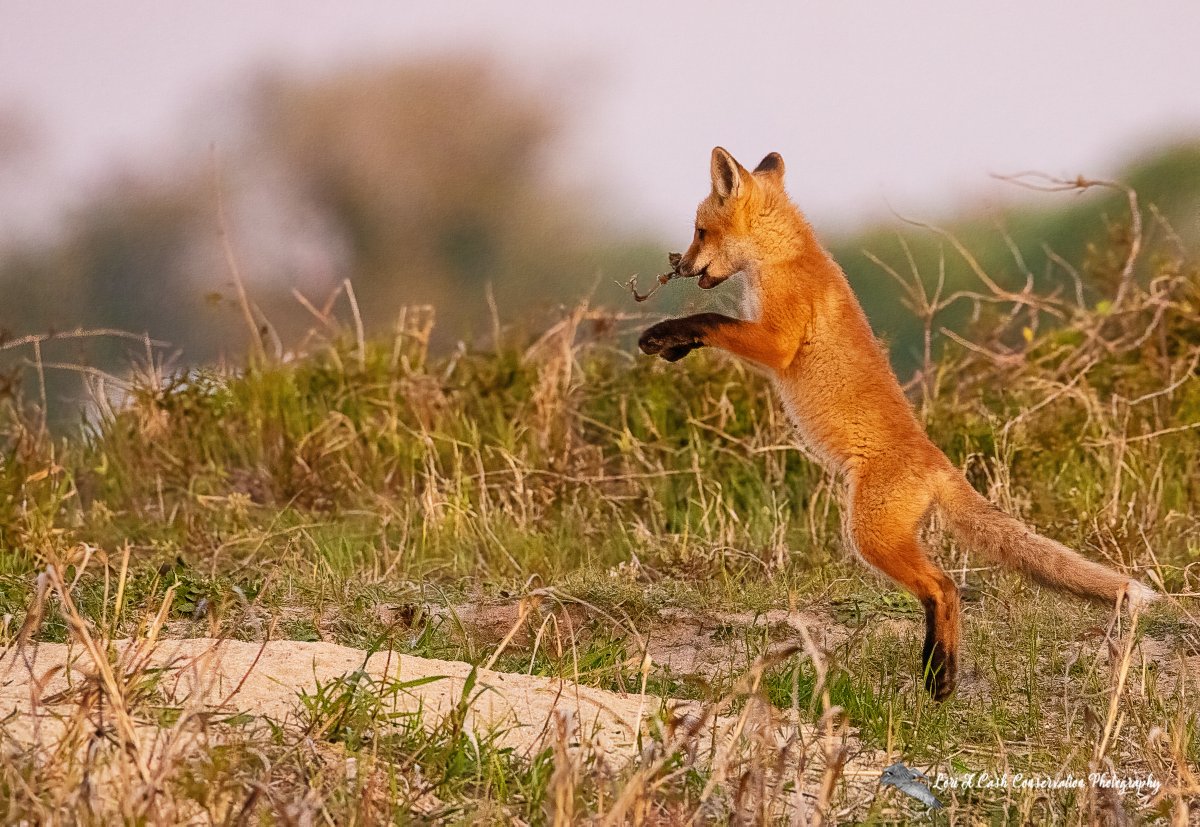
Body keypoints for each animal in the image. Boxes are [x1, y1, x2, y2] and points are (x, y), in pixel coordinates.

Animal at [638, 146, 1158, 700]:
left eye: (699, 231)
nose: (680, 265)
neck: (783, 259)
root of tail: (936, 460)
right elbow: (712, 327)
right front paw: (671, 346)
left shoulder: (777, 341)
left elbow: (713, 320)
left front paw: (665, 332)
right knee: (942, 588)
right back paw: (937, 671)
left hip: (871, 535)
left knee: (944, 586)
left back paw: (940, 675)